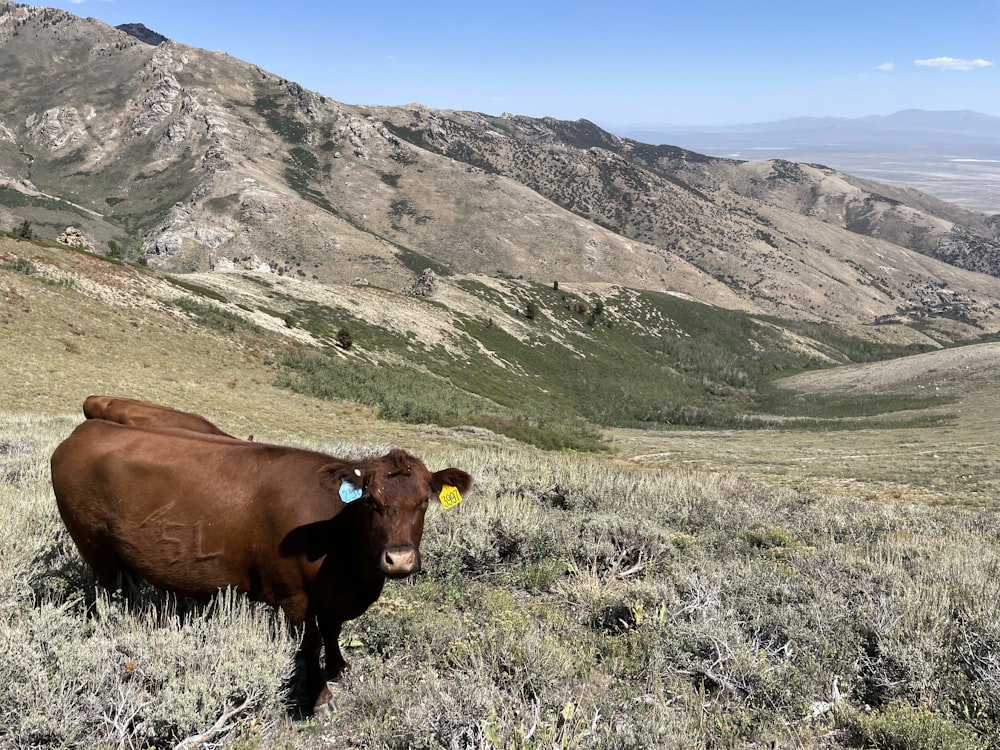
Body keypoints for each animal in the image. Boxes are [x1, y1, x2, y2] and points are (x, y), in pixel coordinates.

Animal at [52, 424, 474, 712]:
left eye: (424, 500)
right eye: (371, 500)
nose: (399, 559)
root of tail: (88, 429)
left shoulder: (332, 597)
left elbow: (333, 630)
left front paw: (339, 668)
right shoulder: (295, 597)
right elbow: (310, 643)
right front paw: (319, 696)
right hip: (95, 548)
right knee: (107, 596)